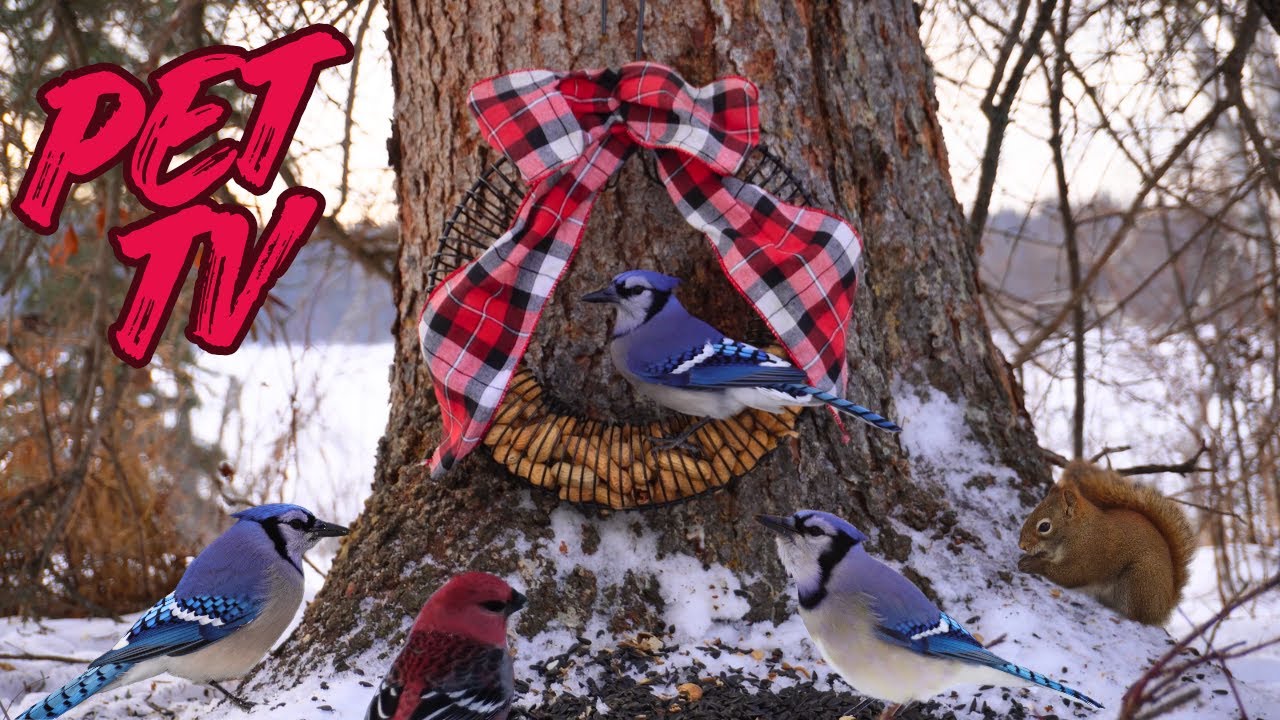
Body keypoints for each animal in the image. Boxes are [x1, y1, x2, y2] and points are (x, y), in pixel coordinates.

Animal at [1017, 459, 1196, 625]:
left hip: (1139, 580)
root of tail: (1163, 608)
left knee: (1136, 616)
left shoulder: (1087, 557)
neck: (1078, 531)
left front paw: (1033, 564)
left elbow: (1069, 575)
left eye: (1044, 526)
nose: (1022, 545)